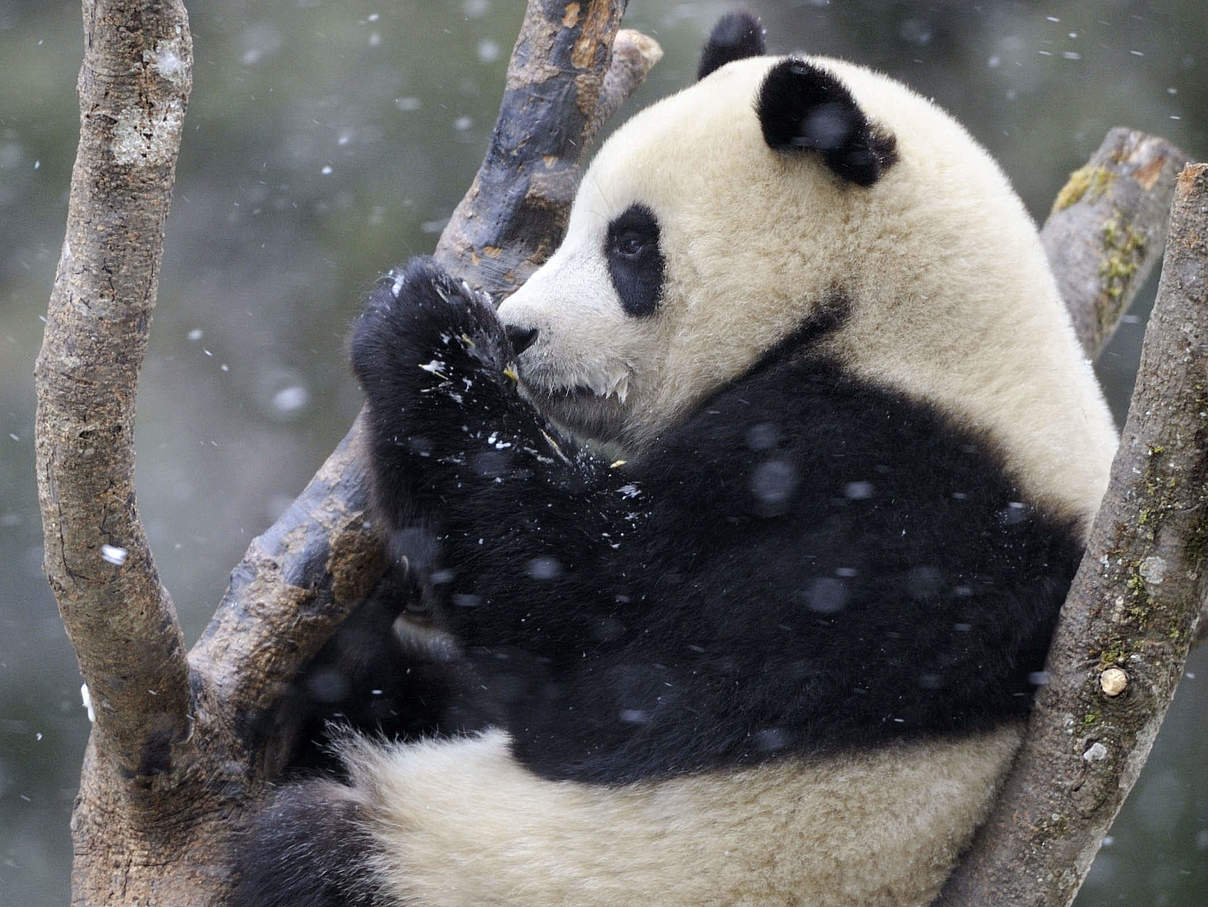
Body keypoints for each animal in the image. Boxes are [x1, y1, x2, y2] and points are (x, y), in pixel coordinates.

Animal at [235, 14, 1121, 907]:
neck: (902, 315)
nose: (517, 330)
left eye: (631, 243)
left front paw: (425, 323)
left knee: (316, 853)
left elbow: (585, 624)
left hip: (498, 864)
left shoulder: (882, 501)